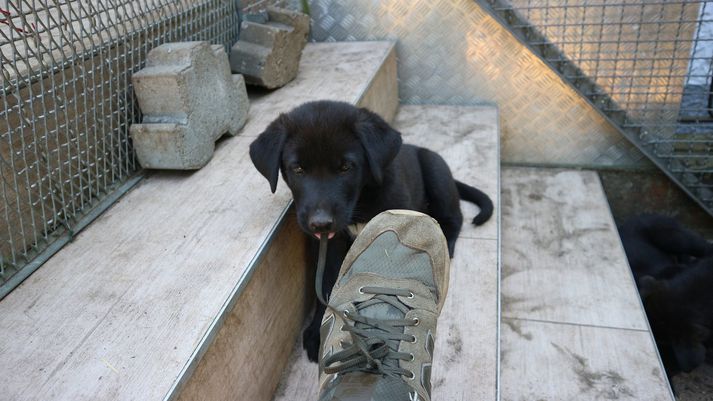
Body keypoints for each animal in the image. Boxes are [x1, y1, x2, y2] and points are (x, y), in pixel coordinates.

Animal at [249, 99, 490, 360]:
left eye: (346, 167)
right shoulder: (328, 244)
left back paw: (447, 241)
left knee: (455, 216)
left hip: (436, 171)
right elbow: (324, 284)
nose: (320, 223)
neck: (361, 202)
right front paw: (317, 331)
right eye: (298, 169)